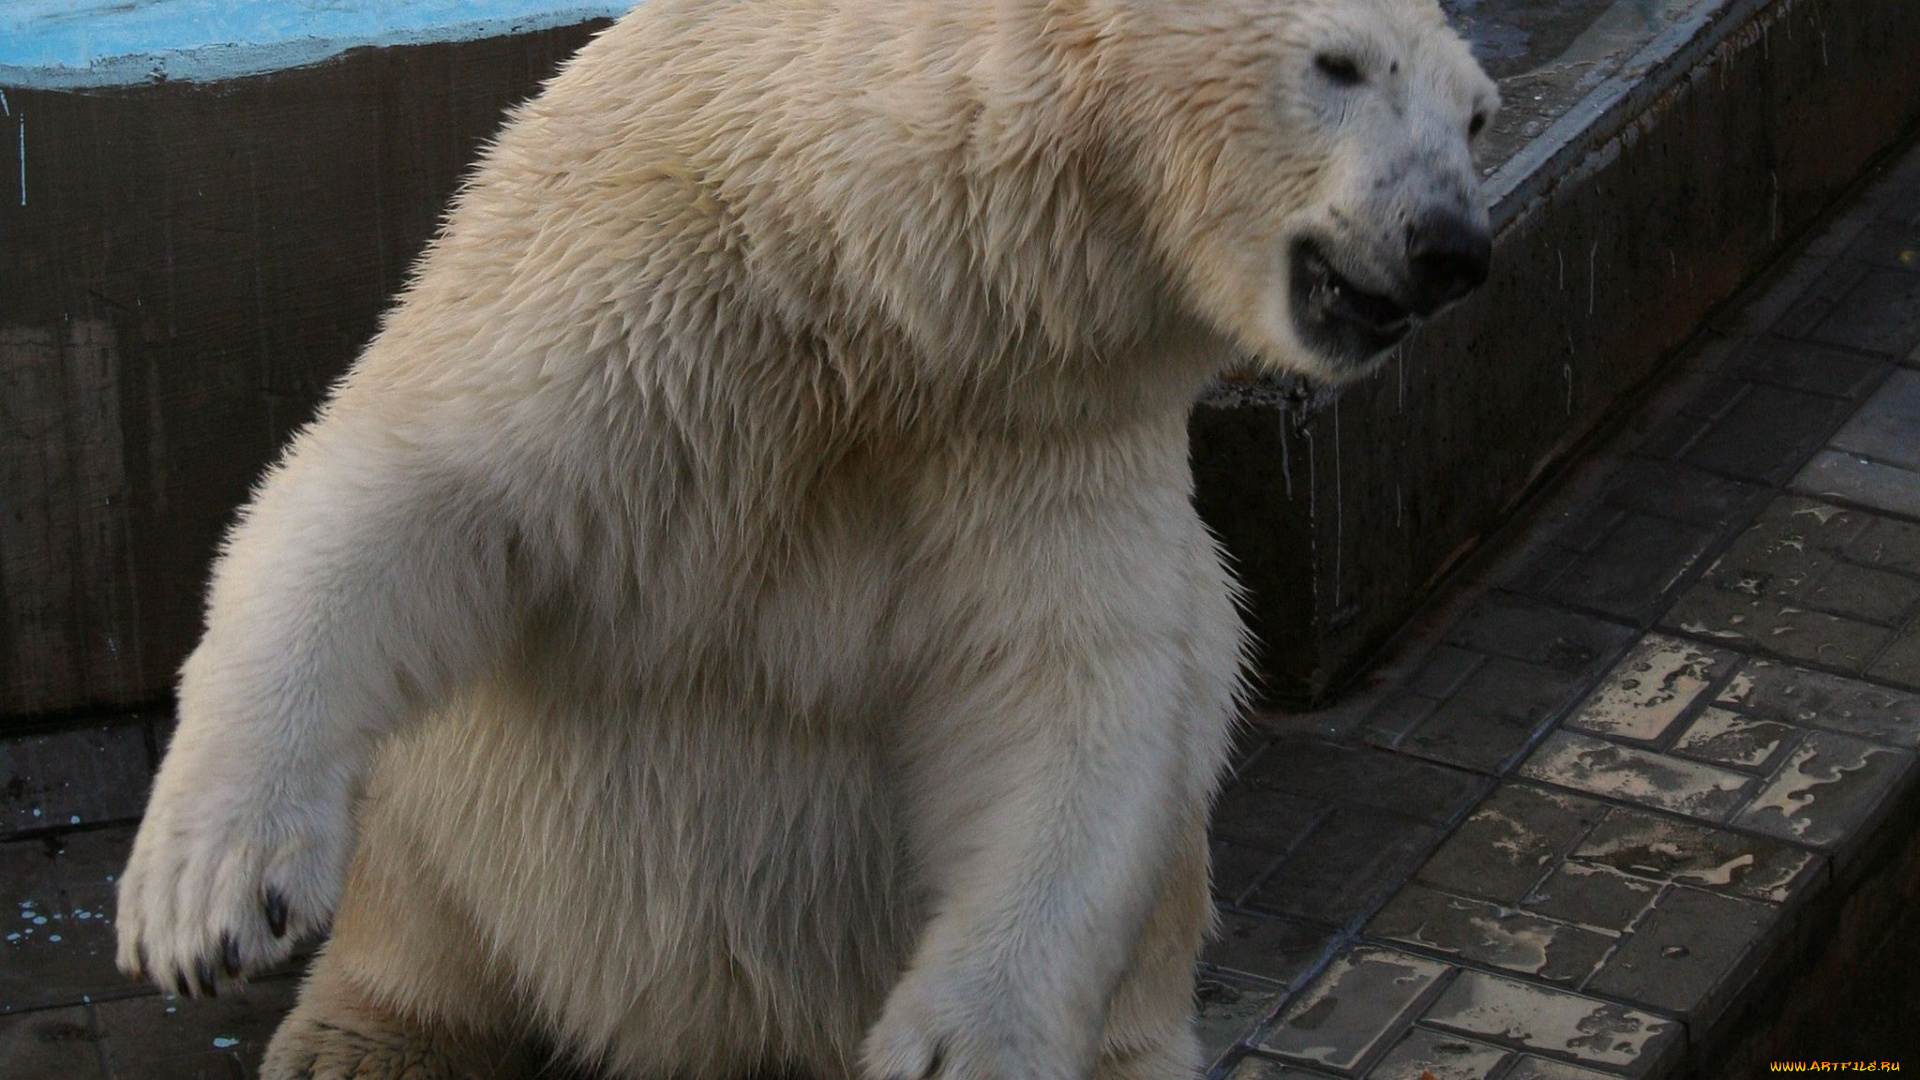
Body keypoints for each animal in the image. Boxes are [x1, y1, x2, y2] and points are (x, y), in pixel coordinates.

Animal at [113, 0, 1498, 1077]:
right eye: (1338, 64)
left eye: (1477, 116)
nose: (1452, 245)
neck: (863, 273)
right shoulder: (644, 274)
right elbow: (417, 487)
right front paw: (210, 892)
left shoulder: (1036, 432)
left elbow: (1082, 692)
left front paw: (960, 1044)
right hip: (476, 834)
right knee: (427, 902)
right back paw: (360, 1042)